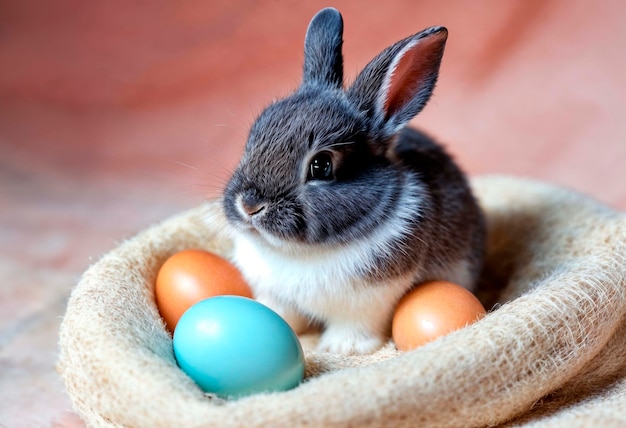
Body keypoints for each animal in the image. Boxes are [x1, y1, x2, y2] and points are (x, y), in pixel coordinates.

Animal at [222, 7, 486, 354]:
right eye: (252, 138)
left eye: (321, 165)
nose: (249, 205)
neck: (298, 253)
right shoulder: (275, 294)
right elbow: (278, 313)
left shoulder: (369, 301)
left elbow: (356, 325)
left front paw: (341, 348)